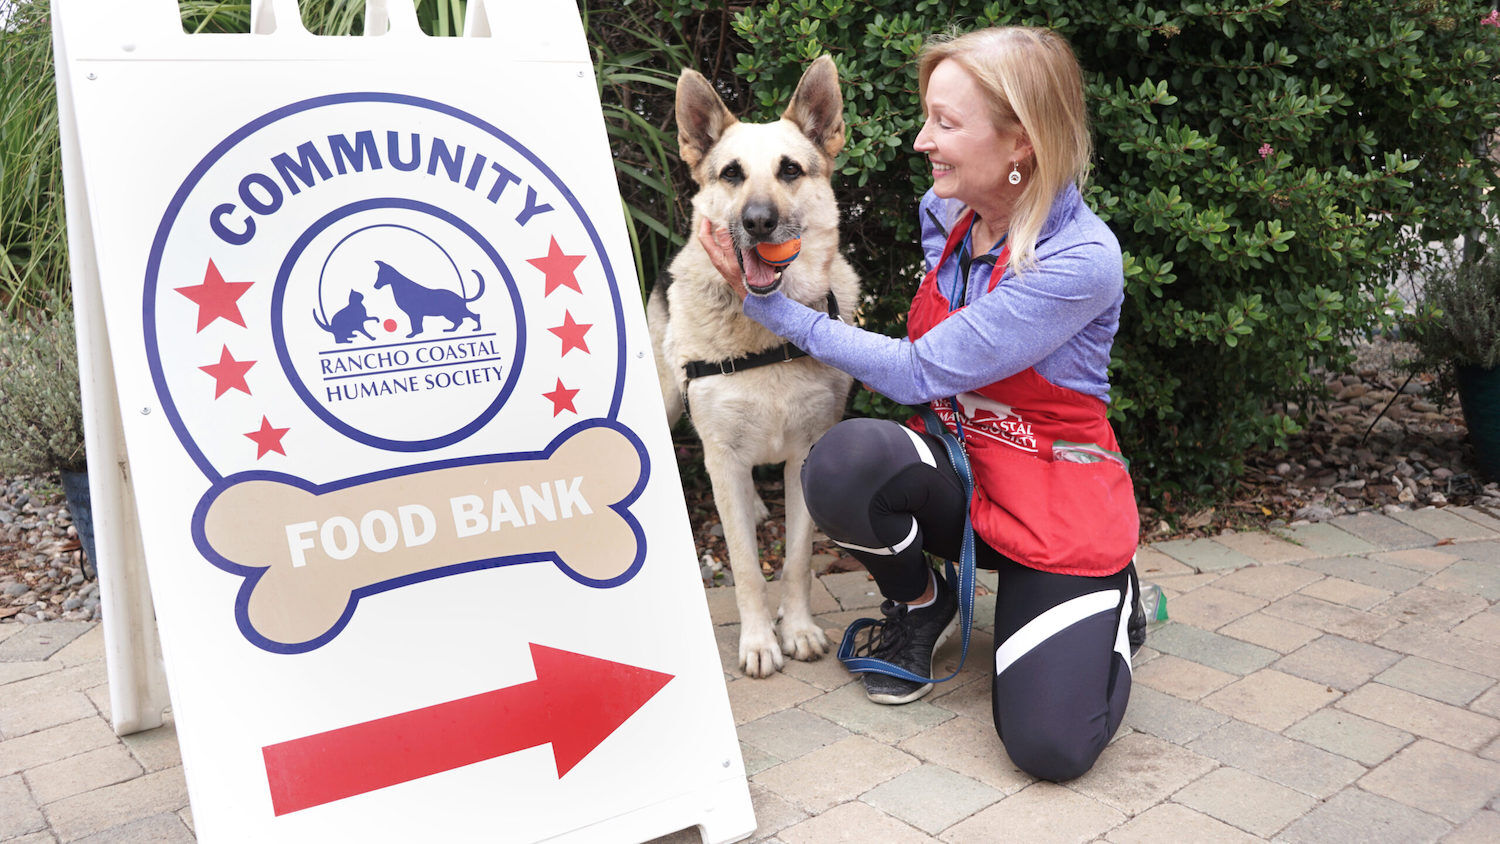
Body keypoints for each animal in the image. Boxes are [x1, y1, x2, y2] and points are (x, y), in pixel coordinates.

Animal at [645, 57, 858, 680]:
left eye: (790, 170)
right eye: (731, 174)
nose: (759, 222)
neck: (769, 336)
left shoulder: (807, 453)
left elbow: (797, 558)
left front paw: (799, 628)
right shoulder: (723, 457)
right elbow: (744, 565)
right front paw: (761, 641)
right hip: (669, 404)